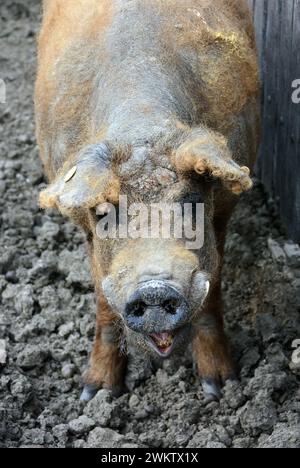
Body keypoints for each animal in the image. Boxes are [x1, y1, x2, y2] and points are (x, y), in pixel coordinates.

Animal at [35, 0, 260, 402]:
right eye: (104, 214)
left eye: (190, 202)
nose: (154, 288)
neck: (140, 122)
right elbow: (103, 299)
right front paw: (96, 394)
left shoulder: (222, 213)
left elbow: (213, 287)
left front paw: (221, 388)